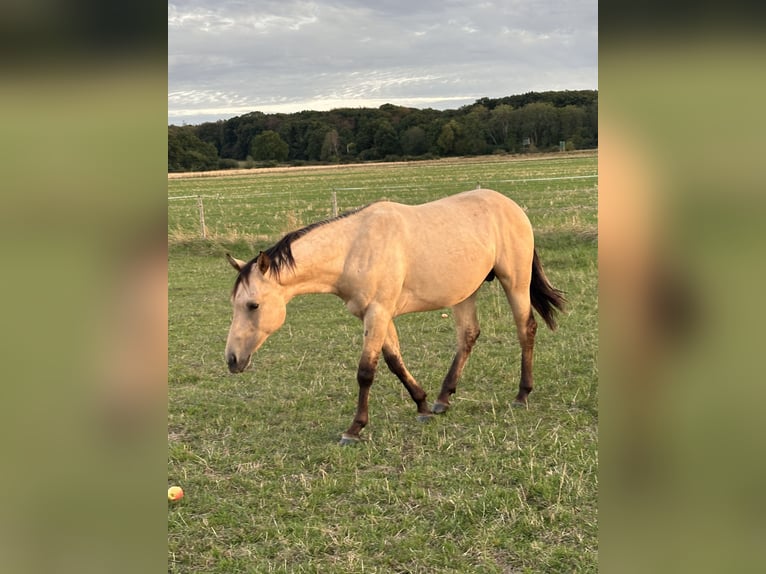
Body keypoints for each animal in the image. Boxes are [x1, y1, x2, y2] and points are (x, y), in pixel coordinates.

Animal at [225, 188, 566, 445]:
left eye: (253, 305)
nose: (232, 360)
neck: (354, 248)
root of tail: (512, 207)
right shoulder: (376, 314)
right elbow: (393, 361)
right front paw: (423, 405)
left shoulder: (377, 312)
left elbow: (366, 371)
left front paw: (354, 428)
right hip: (464, 292)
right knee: (468, 336)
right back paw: (443, 398)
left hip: (515, 282)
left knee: (526, 329)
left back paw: (522, 394)